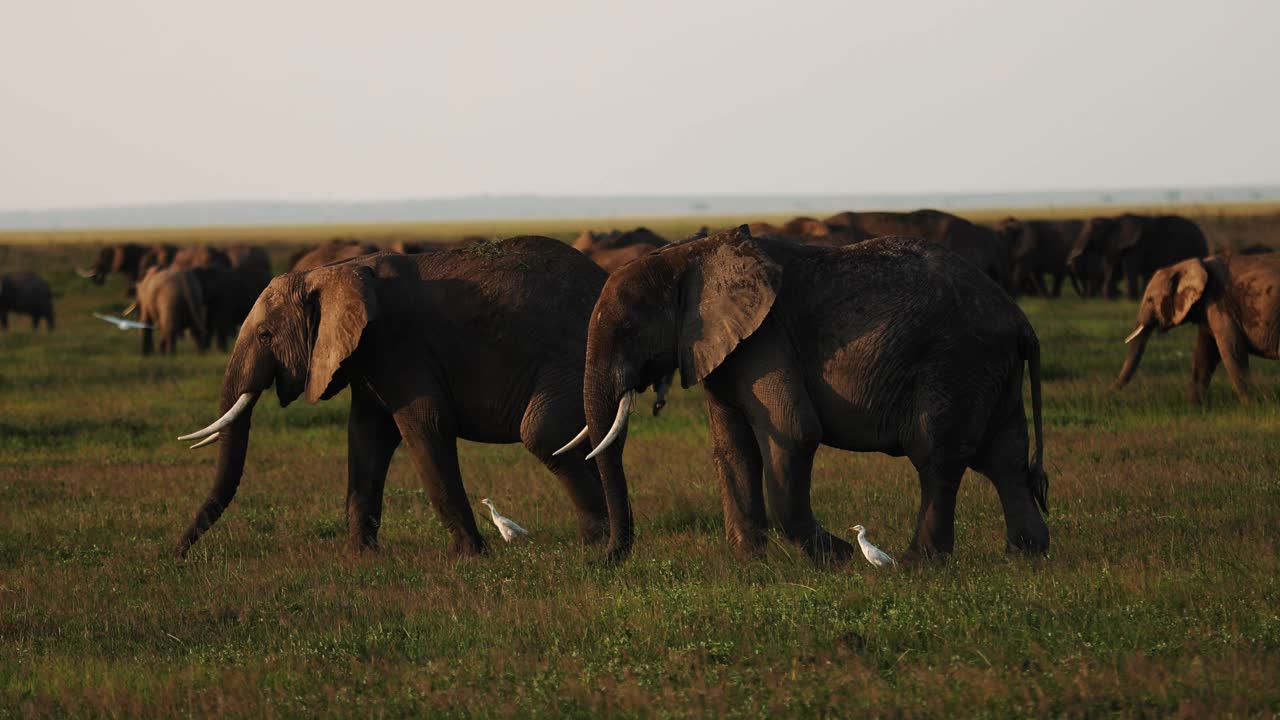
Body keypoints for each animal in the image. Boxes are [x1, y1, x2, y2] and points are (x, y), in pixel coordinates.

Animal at [172, 238, 611, 558]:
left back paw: (596, 543)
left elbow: (425, 426)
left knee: (543, 434)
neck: (332, 271)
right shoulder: (367, 354)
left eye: (265, 336)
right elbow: (367, 436)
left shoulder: (400, 344)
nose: (176, 554)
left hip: (574, 360)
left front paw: (469, 557)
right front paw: (360, 557)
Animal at [560, 226, 1049, 563]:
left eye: (629, 328)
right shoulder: (721, 348)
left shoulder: (766, 340)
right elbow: (732, 449)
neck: (689, 255)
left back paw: (917, 564)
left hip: (956, 362)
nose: (599, 561)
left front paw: (841, 558)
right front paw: (750, 565)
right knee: (1005, 457)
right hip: (990, 370)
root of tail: (1020, 318)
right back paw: (1026, 557)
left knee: (937, 456)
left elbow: (793, 433)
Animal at [1064, 211, 1203, 298]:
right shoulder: (1114, 245)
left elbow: (1128, 268)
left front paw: (1131, 298)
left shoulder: (1136, 246)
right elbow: (1111, 267)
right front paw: (1110, 298)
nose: (1070, 261)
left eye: (1093, 230)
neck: (1113, 220)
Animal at [1111, 252, 1280, 399]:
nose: (1112, 390)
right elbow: (1204, 354)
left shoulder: (1220, 304)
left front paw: (1251, 404)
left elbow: (1232, 349)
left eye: (1150, 299)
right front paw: (1193, 408)